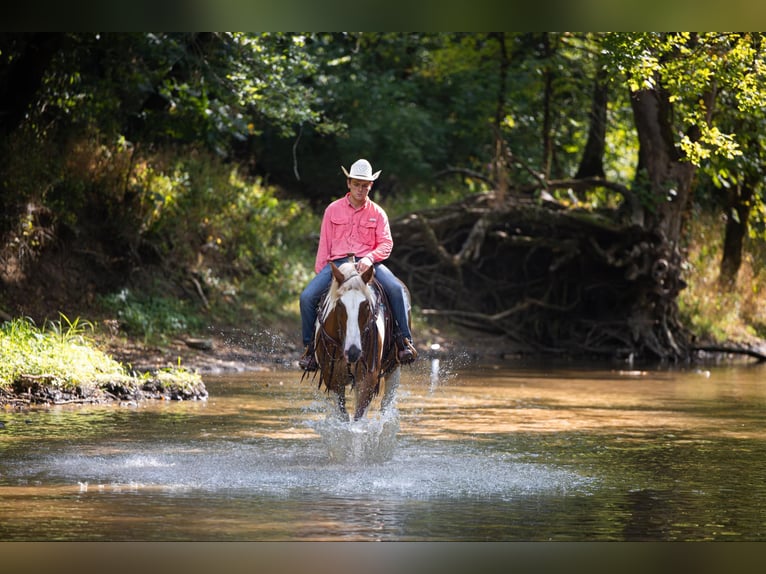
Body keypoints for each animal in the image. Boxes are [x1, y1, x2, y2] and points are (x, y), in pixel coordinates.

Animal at [305, 260, 408, 421]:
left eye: (366, 304)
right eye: (339, 304)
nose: (353, 352)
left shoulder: (368, 379)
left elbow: (358, 417)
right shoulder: (332, 379)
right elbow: (343, 416)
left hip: (393, 365)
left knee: (386, 403)